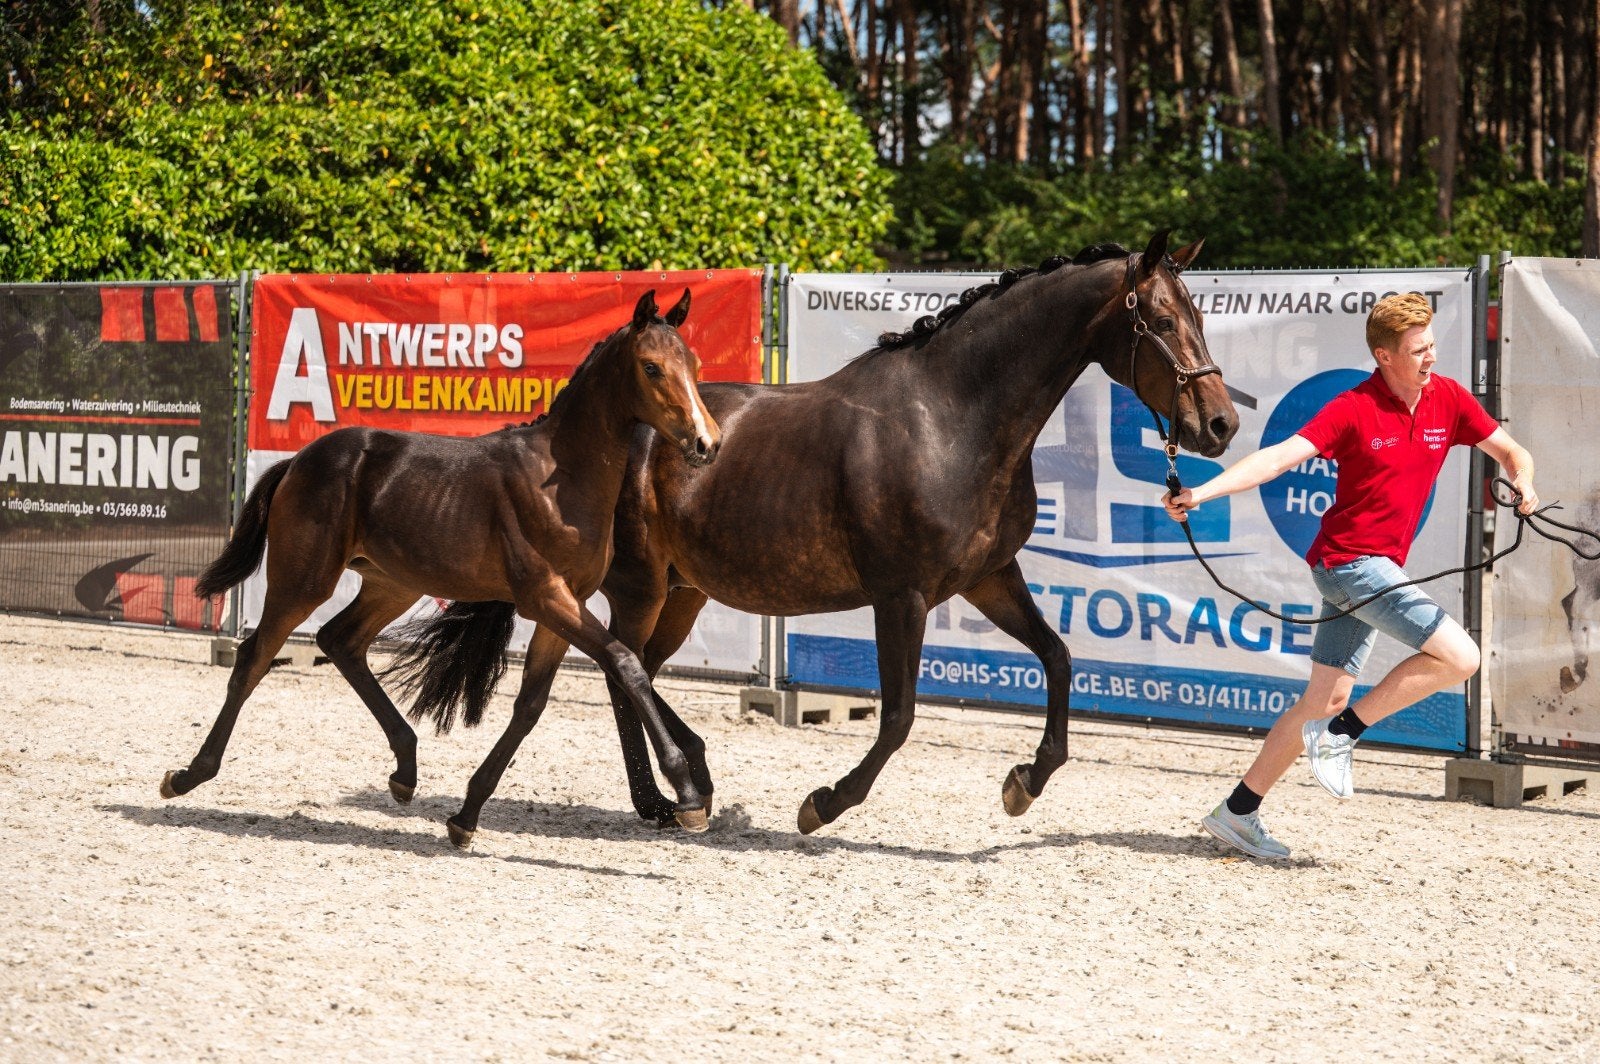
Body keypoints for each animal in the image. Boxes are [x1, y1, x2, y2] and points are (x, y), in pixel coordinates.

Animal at [158, 289, 723, 835]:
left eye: (694, 364)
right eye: (651, 367)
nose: (708, 443)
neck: (560, 480)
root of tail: (298, 460)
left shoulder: (565, 605)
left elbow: (531, 704)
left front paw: (466, 816)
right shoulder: (546, 597)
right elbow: (627, 664)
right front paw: (687, 793)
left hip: (393, 583)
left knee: (340, 640)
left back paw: (405, 770)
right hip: (302, 580)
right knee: (254, 657)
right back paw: (188, 775)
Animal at [404, 231, 1239, 845]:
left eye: (1199, 315)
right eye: (1162, 320)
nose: (1221, 424)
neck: (953, 418)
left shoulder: (989, 577)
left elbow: (1060, 660)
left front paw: (1024, 784)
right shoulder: (901, 595)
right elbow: (898, 718)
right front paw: (822, 804)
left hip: (682, 592)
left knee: (632, 669)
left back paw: (669, 797)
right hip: (640, 585)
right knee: (621, 668)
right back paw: (681, 789)